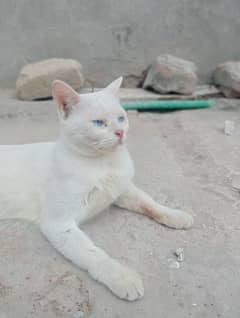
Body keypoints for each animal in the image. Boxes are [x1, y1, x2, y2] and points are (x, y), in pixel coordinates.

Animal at [0, 77, 193, 300]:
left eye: (121, 118)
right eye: (99, 123)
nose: (121, 132)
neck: (104, 163)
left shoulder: (121, 190)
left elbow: (149, 203)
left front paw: (176, 215)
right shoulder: (59, 224)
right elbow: (94, 254)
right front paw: (122, 277)